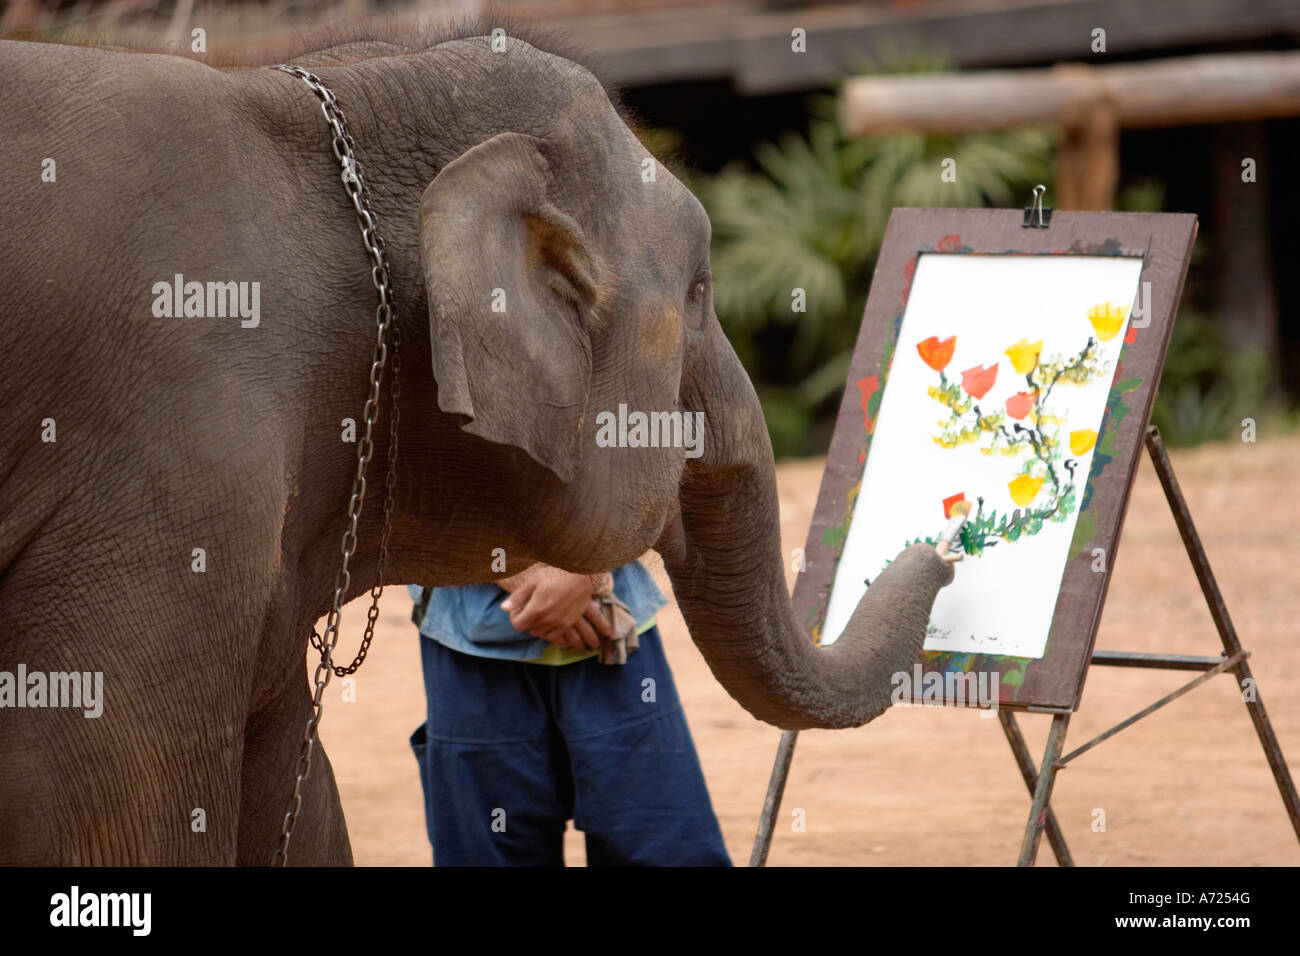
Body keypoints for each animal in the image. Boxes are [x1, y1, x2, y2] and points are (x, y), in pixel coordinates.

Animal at [0, 24, 956, 868]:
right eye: (699, 290)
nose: (942, 553)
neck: (338, 104)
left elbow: (300, 805)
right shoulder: (173, 478)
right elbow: (124, 825)